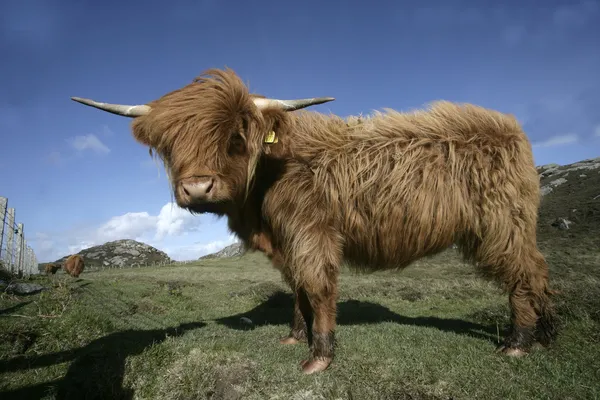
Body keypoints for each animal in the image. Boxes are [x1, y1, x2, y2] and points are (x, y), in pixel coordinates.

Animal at [71, 68, 556, 376]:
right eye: (170, 144)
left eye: (233, 137)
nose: (197, 188)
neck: (271, 174)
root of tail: (509, 127)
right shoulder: (287, 241)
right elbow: (298, 289)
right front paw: (294, 337)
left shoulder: (311, 231)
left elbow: (318, 286)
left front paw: (319, 357)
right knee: (538, 270)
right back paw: (547, 333)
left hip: (502, 224)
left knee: (524, 273)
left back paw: (519, 343)